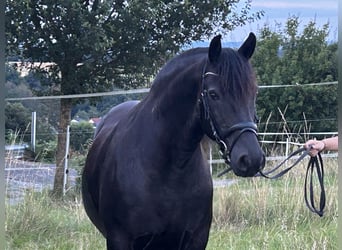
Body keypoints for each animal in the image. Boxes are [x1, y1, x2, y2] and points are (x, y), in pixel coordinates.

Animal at [82, 33, 264, 250]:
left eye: (254, 92)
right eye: (213, 94)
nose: (251, 159)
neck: (168, 171)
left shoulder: (196, 239)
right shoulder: (120, 240)